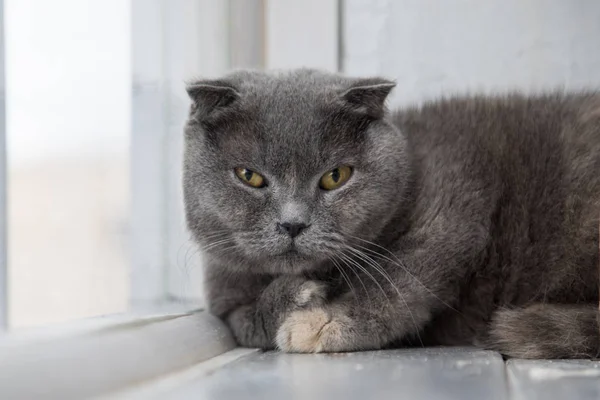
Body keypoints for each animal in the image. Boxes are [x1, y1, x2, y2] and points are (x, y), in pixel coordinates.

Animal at [183, 69, 600, 360]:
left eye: (336, 176)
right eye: (249, 176)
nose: (292, 223)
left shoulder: (454, 204)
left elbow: (398, 282)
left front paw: (319, 323)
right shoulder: (226, 298)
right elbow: (244, 323)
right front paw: (294, 296)